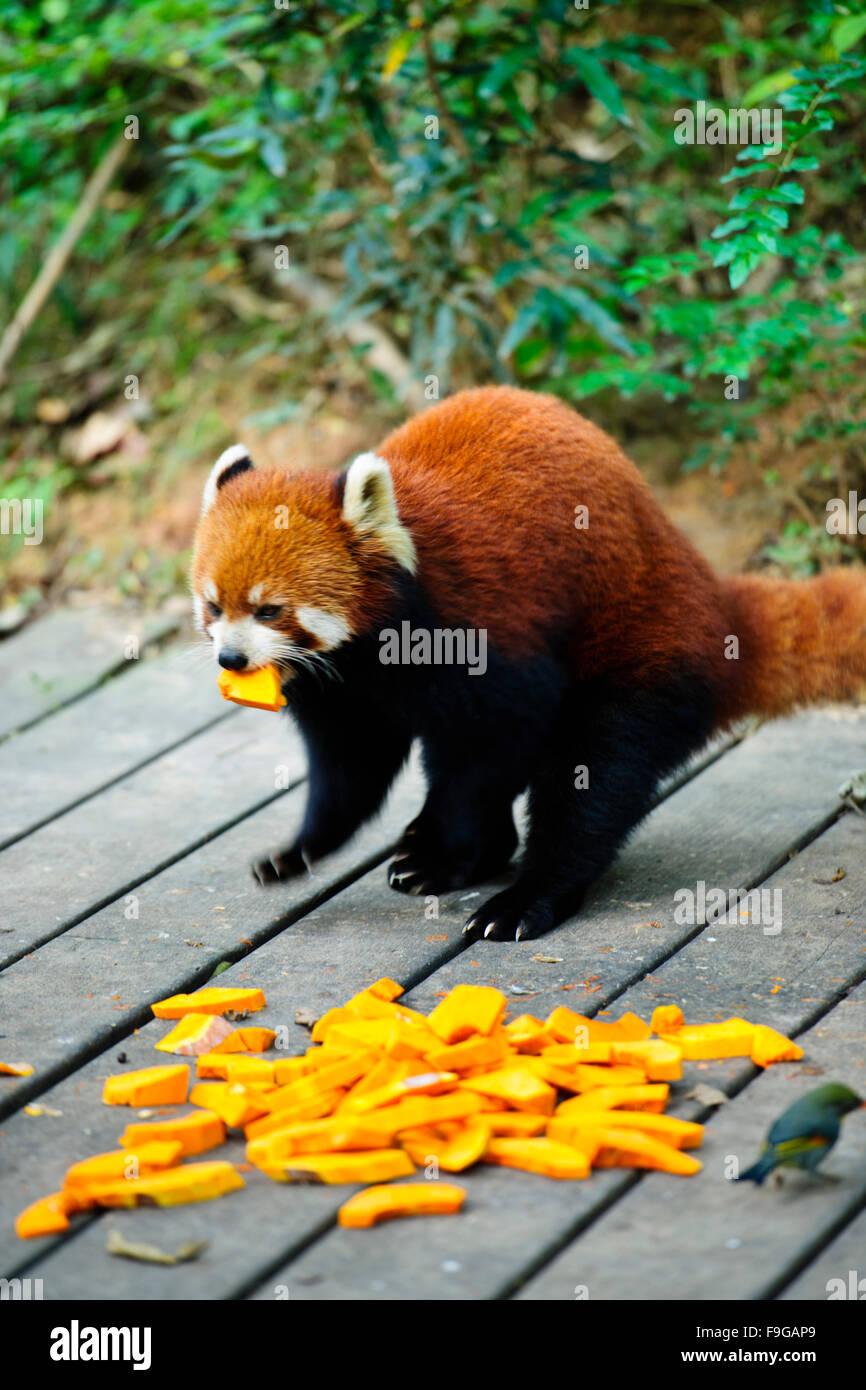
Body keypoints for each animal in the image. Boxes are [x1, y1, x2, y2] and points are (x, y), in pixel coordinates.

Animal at [191, 386, 866, 939]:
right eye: (214, 605)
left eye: (271, 610)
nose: (231, 656)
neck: (371, 652)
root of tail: (710, 591)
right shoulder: (347, 688)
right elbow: (351, 765)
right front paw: (302, 848)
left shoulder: (483, 631)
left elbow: (495, 747)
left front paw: (460, 852)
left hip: (644, 648)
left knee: (595, 772)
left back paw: (524, 895)